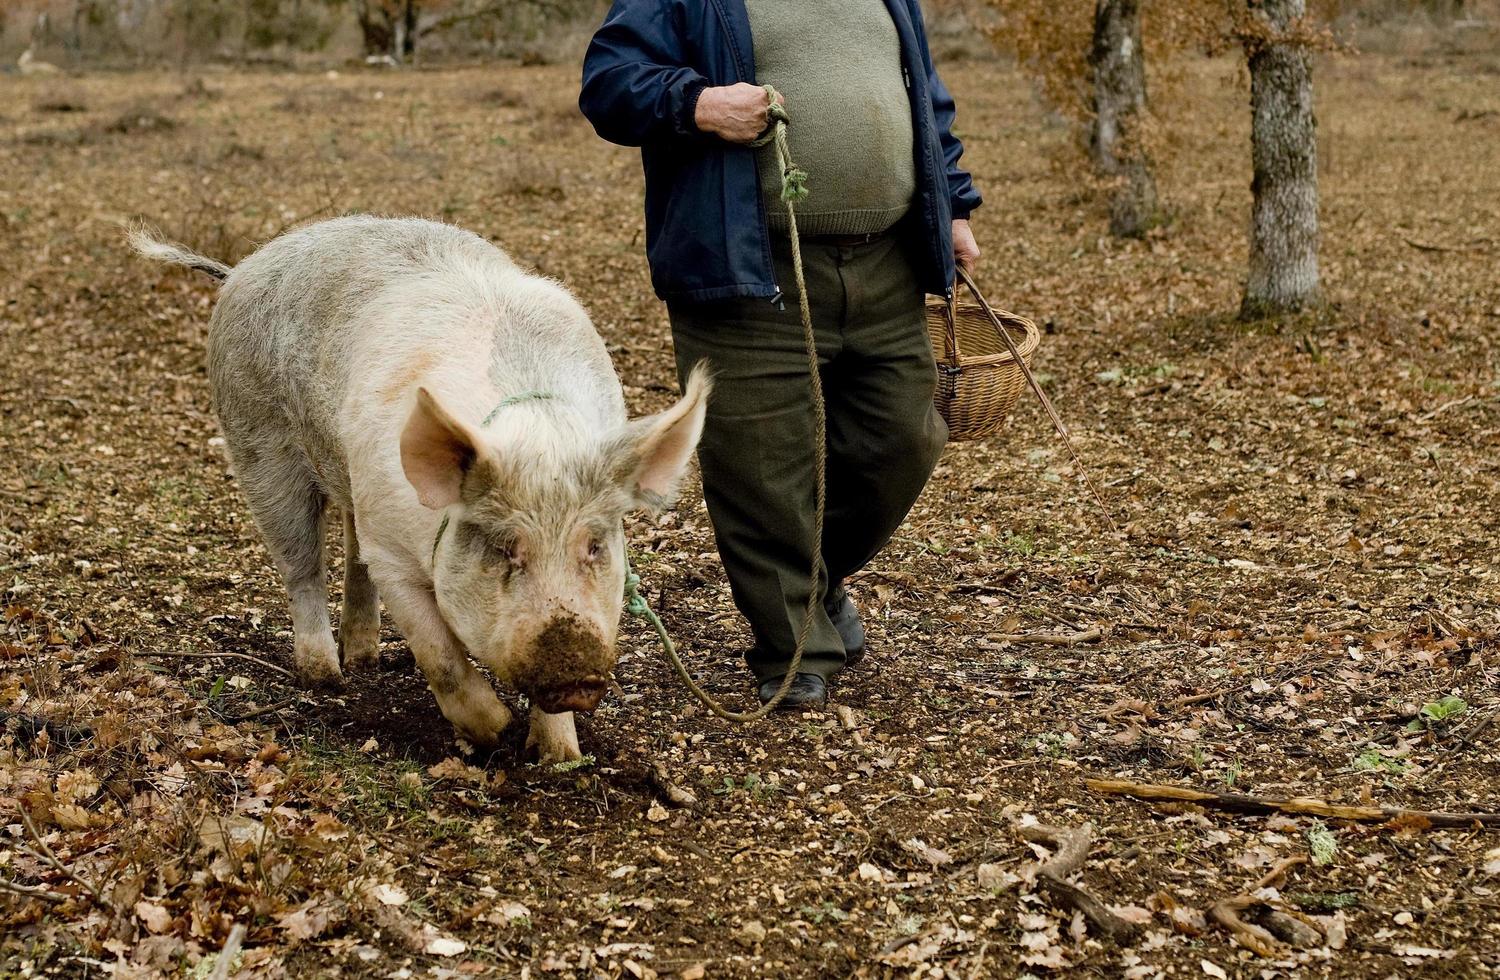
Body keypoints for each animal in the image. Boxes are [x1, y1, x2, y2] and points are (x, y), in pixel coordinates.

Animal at [130, 217, 708, 759]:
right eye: (504, 548)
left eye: (594, 545)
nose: (576, 672)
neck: (534, 437)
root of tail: (242, 269)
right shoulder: (393, 553)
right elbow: (440, 654)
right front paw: (495, 730)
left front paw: (559, 757)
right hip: (258, 444)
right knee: (301, 564)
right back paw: (326, 676)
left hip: (347, 470)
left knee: (350, 543)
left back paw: (364, 659)